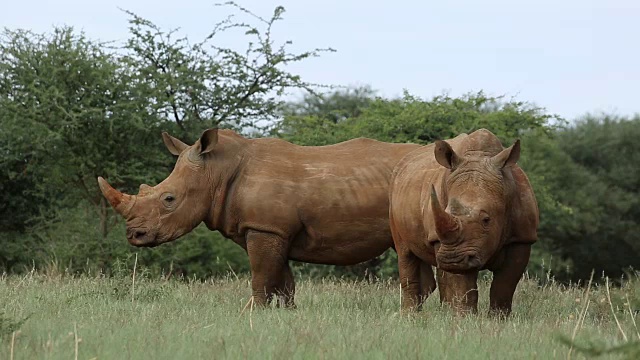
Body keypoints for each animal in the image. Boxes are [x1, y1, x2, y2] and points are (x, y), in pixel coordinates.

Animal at [99, 126, 420, 306]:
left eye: (169, 199)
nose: (134, 235)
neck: (217, 170)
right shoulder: (271, 230)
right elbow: (282, 284)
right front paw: (286, 317)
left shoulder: (266, 228)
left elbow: (261, 279)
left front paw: (251, 316)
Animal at [388, 129, 536, 316]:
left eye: (486, 220)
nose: (451, 259)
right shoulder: (453, 245)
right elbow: (462, 285)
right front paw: (465, 318)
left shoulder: (521, 238)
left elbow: (505, 285)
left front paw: (498, 318)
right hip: (392, 197)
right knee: (405, 253)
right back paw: (411, 316)